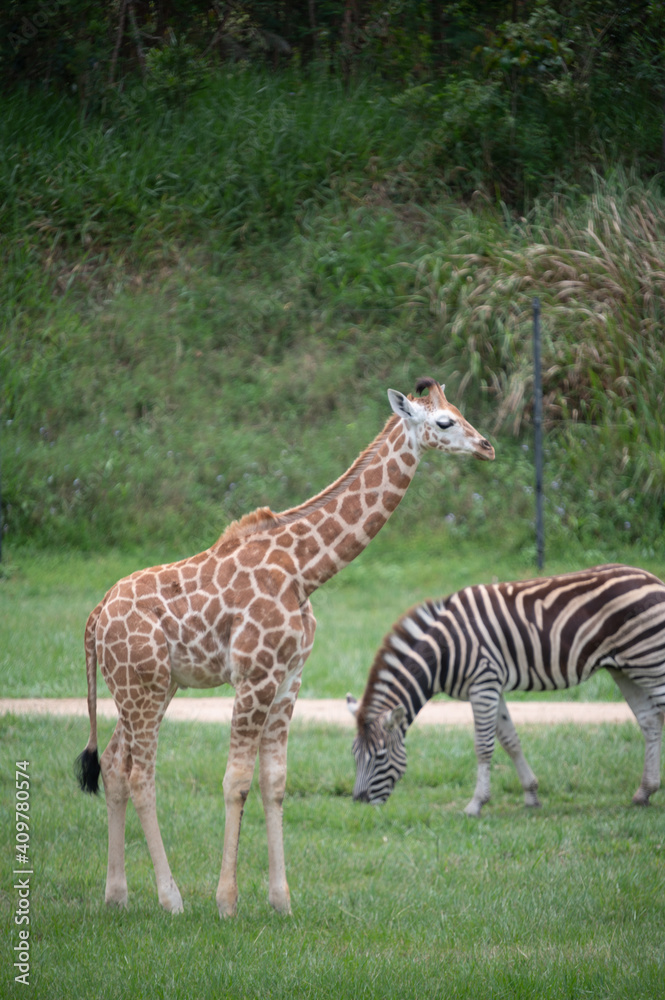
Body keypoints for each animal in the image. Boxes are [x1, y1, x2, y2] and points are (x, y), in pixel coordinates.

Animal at [76, 377, 495, 917]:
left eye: (461, 413)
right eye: (444, 422)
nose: (486, 446)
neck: (306, 568)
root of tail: (95, 616)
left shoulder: (290, 678)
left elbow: (275, 782)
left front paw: (281, 901)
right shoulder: (255, 676)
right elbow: (236, 780)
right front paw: (227, 902)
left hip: (151, 686)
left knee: (112, 764)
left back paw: (117, 895)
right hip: (141, 686)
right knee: (141, 775)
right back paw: (172, 899)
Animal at [347, 564, 665, 816]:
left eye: (380, 756)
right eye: (354, 755)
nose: (359, 803)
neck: (444, 650)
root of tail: (651, 577)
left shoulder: (483, 683)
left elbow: (483, 745)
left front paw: (475, 804)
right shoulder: (491, 685)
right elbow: (510, 740)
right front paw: (531, 795)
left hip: (649, 659)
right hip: (624, 668)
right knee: (649, 721)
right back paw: (644, 793)